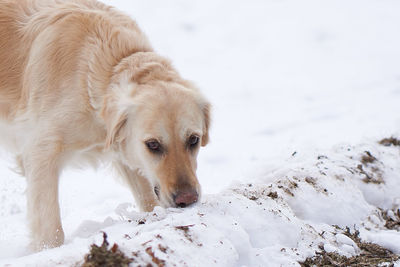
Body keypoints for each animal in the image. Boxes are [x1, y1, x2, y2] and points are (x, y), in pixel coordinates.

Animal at [0, 0, 209, 251]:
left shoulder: (125, 154)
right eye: (153, 145)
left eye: (193, 140)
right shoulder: (41, 152)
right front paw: (46, 251)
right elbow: (51, 232)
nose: (187, 200)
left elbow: (148, 199)